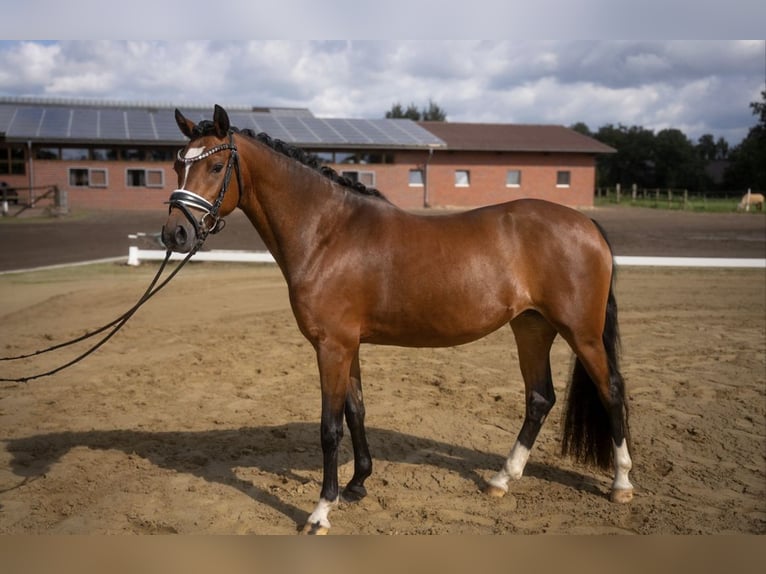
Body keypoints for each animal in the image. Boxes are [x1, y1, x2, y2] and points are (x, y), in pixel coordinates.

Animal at [162, 107, 636, 536]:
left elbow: (329, 427)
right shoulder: (347, 345)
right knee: (539, 397)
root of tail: (586, 223)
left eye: (216, 166)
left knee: (610, 390)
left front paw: (321, 511)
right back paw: (502, 479)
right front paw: (357, 484)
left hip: (581, 333)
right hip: (532, 327)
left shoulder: (332, 346)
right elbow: (356, 411)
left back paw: (621, 484)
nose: (175, 235)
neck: (327, 233)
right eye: (177, 165)